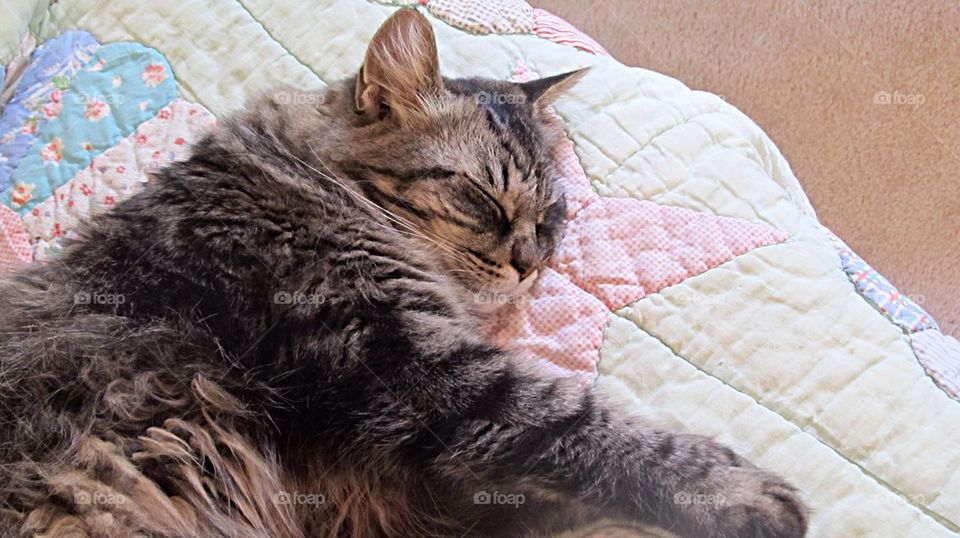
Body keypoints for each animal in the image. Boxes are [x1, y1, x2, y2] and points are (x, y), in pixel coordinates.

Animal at [0, 8, 808, 536]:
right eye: (483, 199)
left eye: (550, 217)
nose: (526, 265)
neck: (304, 179)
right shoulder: (403, 362)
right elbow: (580, 425)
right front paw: (739, 491)